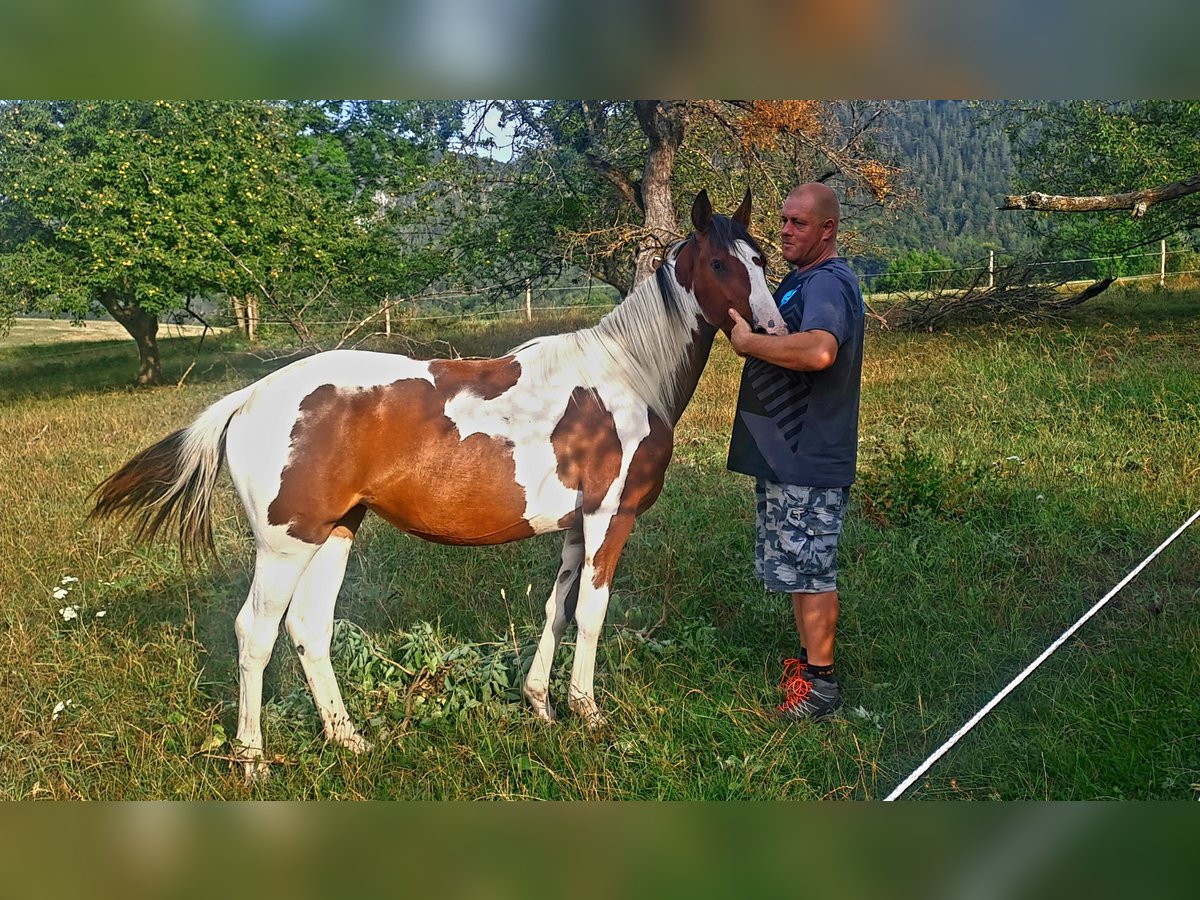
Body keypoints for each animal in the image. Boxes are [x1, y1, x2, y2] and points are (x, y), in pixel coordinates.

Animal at [88, 187, 782, 777]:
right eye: (719, 262)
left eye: (762, 258)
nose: (772, 330)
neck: (626, 377)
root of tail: (250, 397)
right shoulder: (609, 517)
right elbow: (590, 615)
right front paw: (588, 714)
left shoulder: (575, 528)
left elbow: (556, 611)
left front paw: (540, 705)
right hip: (286, 545)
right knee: (254, 634)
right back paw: (252, 758)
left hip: (334, 533)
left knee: (308, 629)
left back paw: (347, 738)